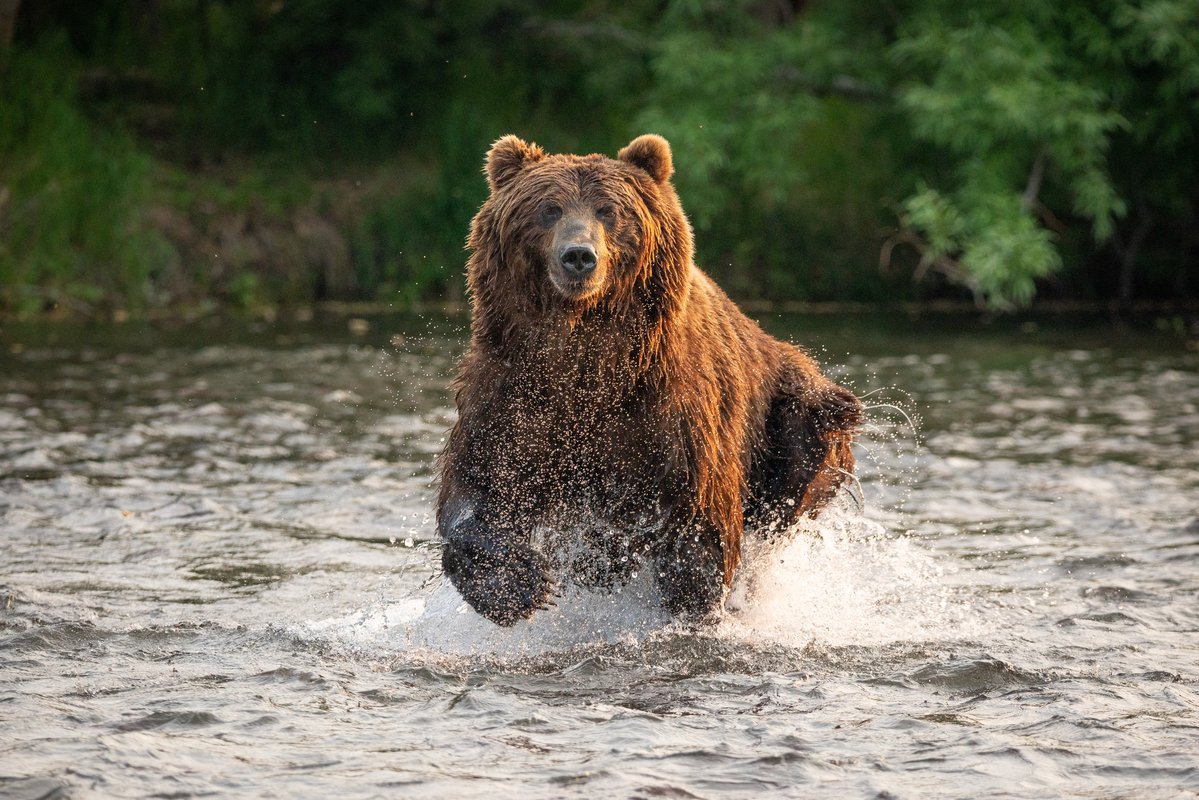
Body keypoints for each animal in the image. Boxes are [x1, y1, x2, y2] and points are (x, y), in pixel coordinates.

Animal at [436, 134, 858, 628]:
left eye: (608, 210)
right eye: (549, 208)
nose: (579, 256)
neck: (585, 354)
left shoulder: (675, 408)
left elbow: (700, 518)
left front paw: (689, 598)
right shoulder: (513, 390)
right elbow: (479, 483)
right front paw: (519, 584)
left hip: (796, 412)